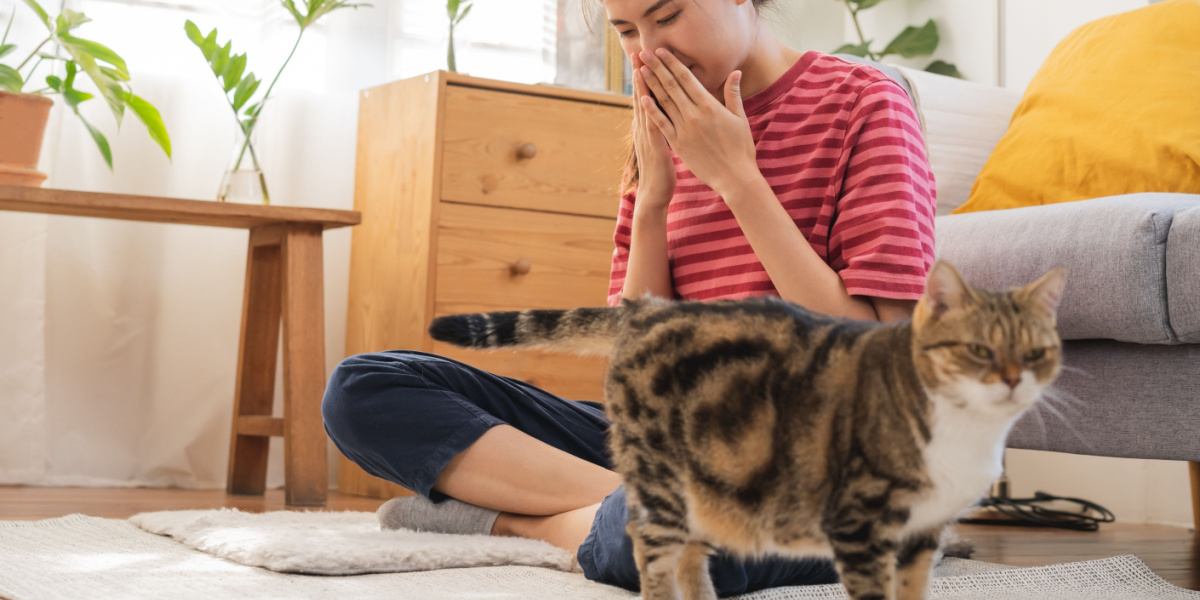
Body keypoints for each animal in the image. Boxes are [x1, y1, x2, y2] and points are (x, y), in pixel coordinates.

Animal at [427, 261, 1065, 600]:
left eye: (1037, 353)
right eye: (979, 350)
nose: (1013, 380)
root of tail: (649, 308)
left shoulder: (922, 530)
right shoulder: (860, 522)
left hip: (712, 480)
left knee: (689, 553)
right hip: (659, 473)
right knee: (649, 547)